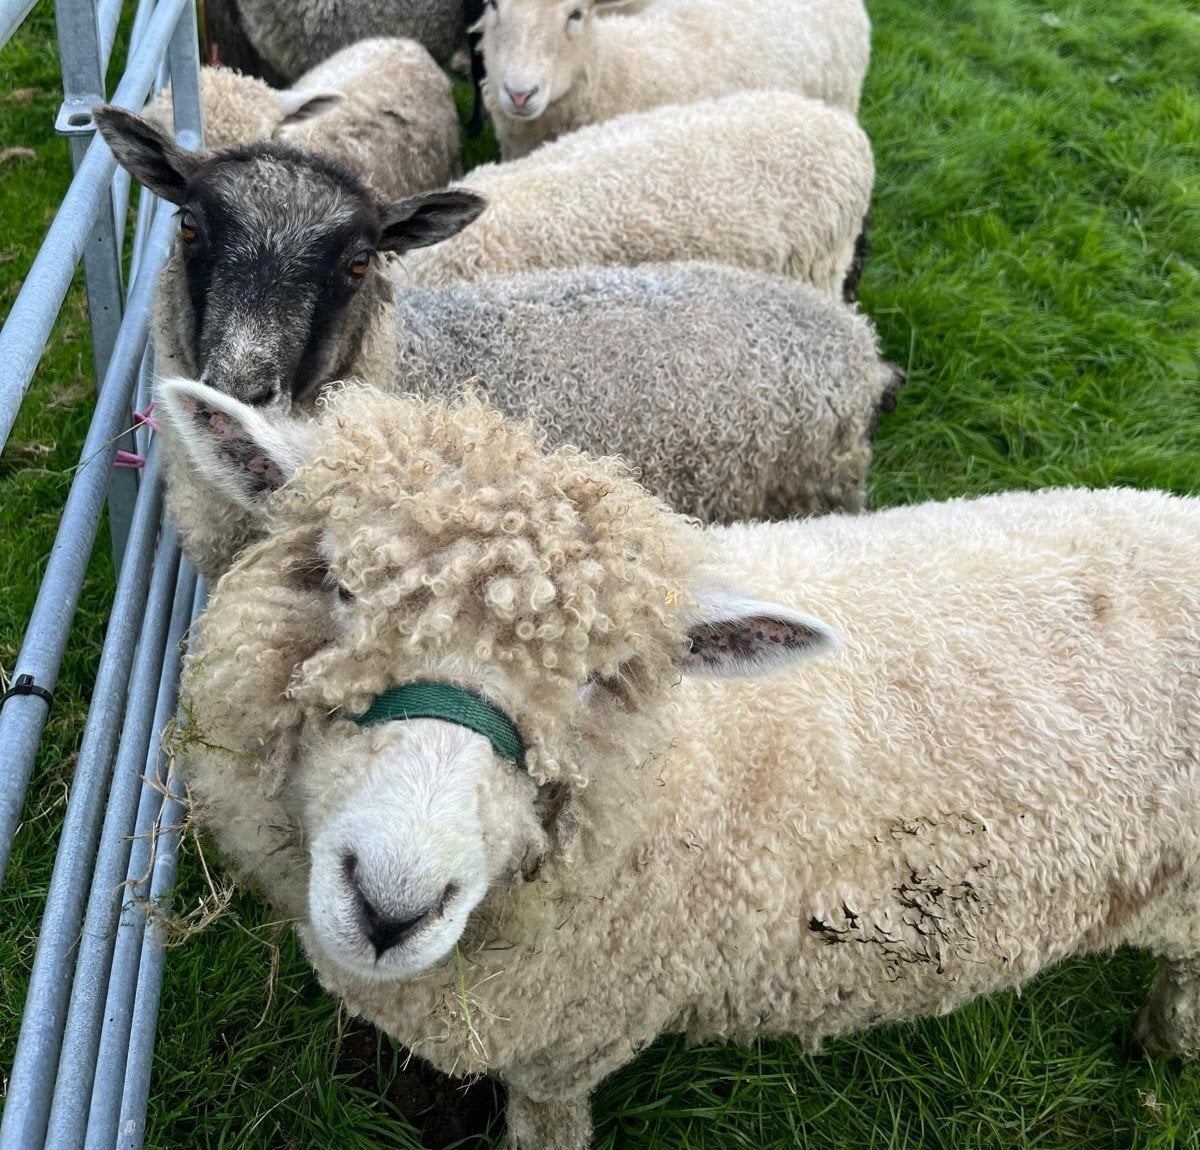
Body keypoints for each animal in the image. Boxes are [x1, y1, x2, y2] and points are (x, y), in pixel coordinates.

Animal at [165, 381, 1200, 1150]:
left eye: (601, 679)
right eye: (339, 584)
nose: (391, 904)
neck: (666, 777)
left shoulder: (570, 1038)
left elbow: (546, 1121)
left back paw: (1164, 1049)